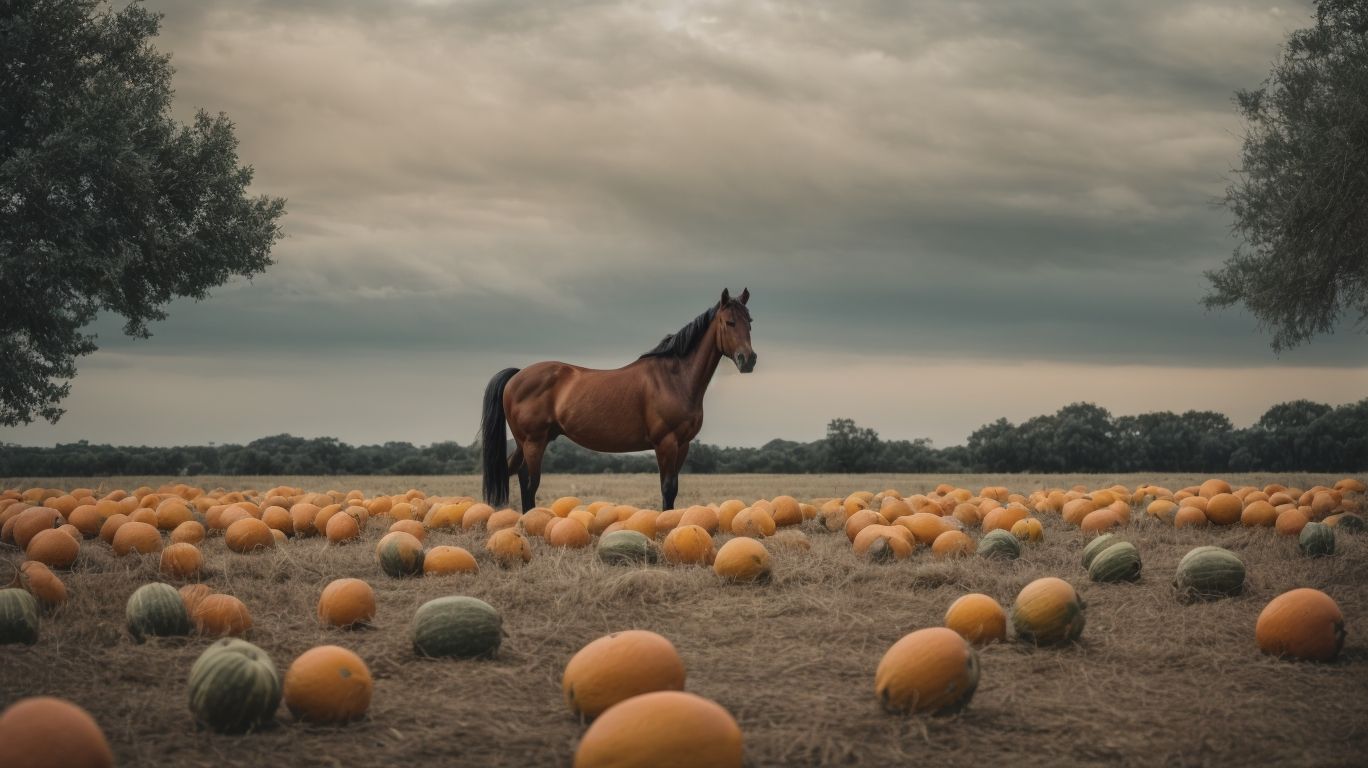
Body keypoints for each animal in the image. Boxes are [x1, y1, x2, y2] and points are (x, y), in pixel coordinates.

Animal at [480, 288, 756, 512]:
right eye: (729, 322)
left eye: (750, 322)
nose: (748, 360)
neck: (674, 378)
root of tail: (518, 375)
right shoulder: (665, 443)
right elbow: (667, 489)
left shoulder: (683, 444)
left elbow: (674, 489)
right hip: (533, 442)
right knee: (530, 483)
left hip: (528, 442)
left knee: (515, 474)